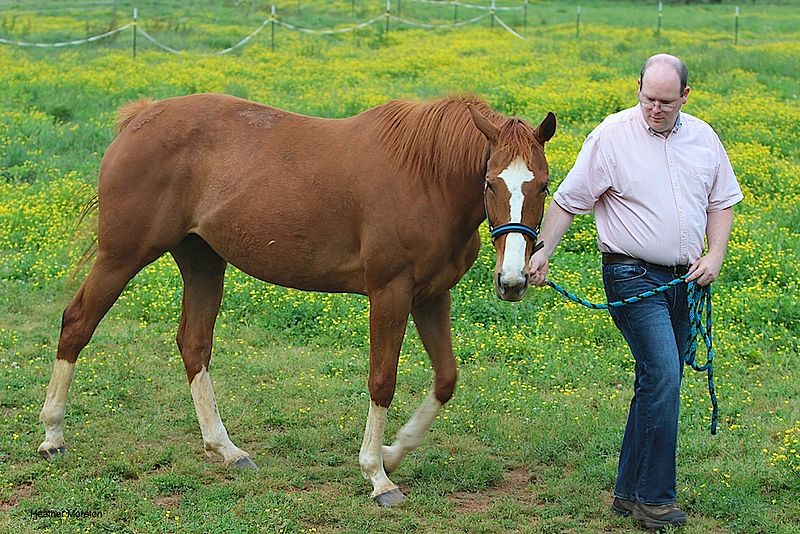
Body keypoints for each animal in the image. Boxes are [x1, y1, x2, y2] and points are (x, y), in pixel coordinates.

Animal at [37, 94, 556, 508]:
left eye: (543, 185)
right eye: (490, 183)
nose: (513, 281)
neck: (425, 177)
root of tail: (141, 117)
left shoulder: (431, 296)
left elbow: (446, 379)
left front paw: (394, 452)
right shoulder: (390, 293)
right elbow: (382, 381)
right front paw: (377, 475)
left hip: (202, 261)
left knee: (193, 344)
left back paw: (226, 449)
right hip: (122, 256)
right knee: (77, 323)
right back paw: (52, 434)